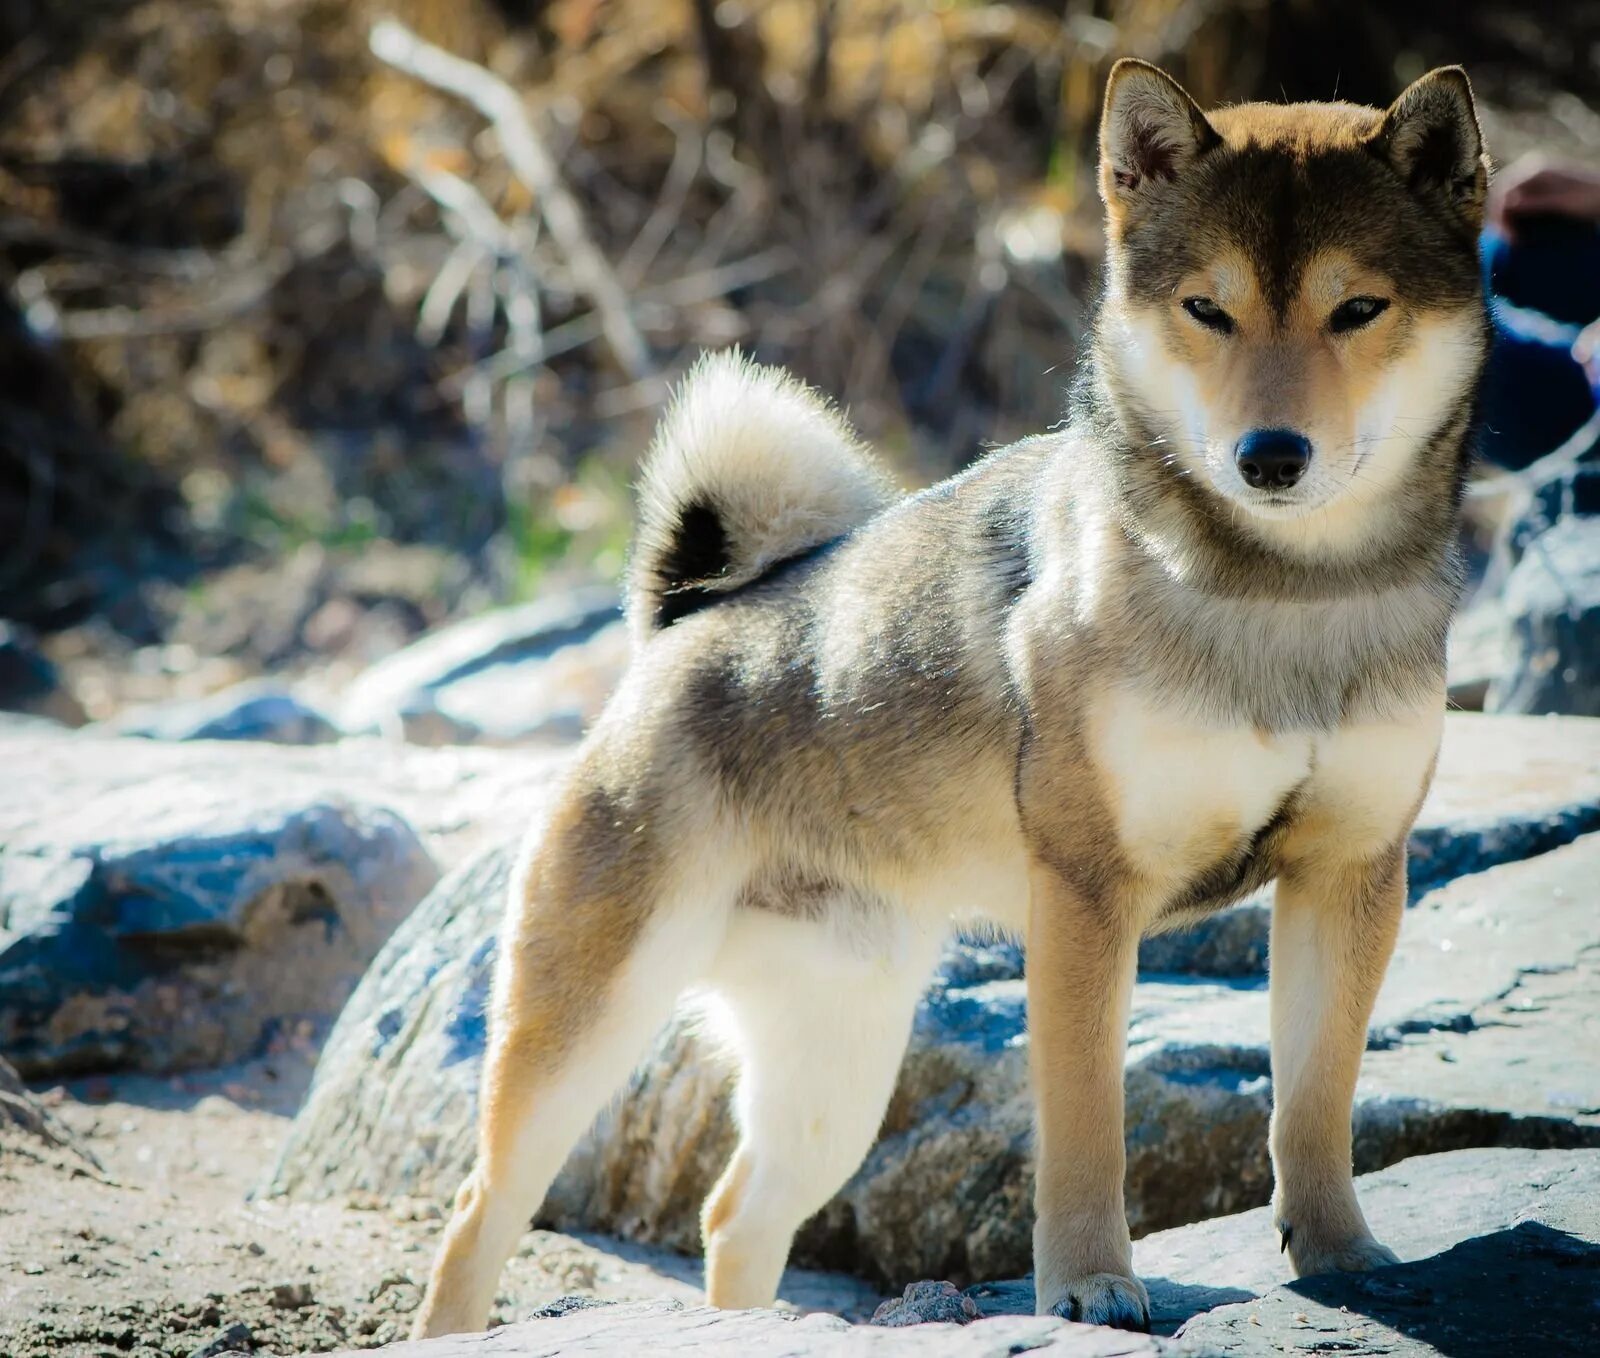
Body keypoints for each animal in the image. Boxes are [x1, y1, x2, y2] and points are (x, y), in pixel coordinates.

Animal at [412, 58, 1484, 1330]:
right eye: (1206, 310)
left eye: (1357, 309)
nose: (1268, 455)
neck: (1284, 597)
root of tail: (679, 624)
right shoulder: (1085, 899)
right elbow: (1086, 1124)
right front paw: (1089, 1283)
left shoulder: (1348, 870)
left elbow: (1314, 1101)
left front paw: (1342, 1257)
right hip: (592, 1019)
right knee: (478, 1215)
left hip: (840, 1053)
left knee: (735, 1214)